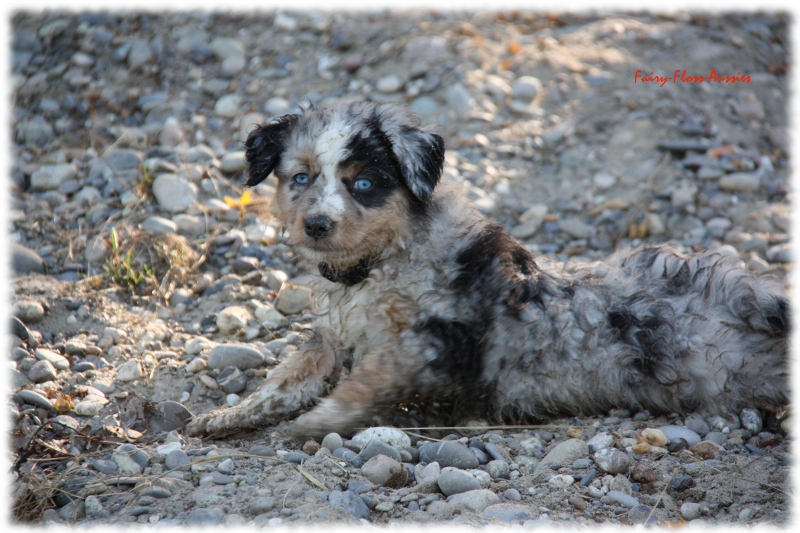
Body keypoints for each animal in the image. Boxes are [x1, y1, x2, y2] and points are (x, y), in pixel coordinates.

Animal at [186, 102, 788, 438]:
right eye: (301, 178)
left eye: (364, 183)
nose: (316, 226)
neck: (380, 266)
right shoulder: (333, 337)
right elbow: (287, 376)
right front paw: (229, 415)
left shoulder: (441, 341)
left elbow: (369, 378)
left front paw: (316, 423)